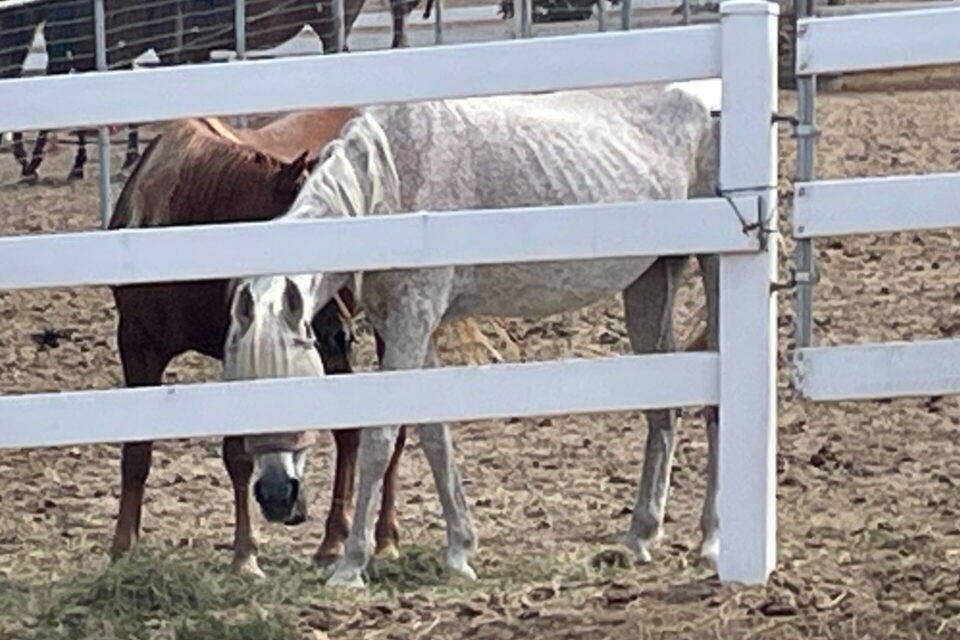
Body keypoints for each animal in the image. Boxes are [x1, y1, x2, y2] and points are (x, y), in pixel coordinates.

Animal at [222, 80, 724, 588]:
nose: (276, 496)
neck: (390, 187)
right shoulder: (410, 325)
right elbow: (434, 436)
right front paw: (460, 551)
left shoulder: (411, 321)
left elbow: (380, 439)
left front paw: (351, 565)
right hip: (652, 281)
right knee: (665, 412)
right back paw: (640, 536)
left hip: (714, 268)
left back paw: (710, 542)